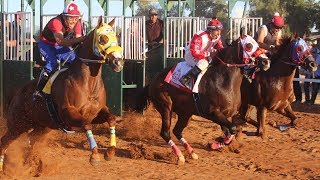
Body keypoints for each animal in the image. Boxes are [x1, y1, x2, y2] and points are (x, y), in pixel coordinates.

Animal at [0, 15, 124, 170]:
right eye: (102, 38)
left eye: (117, 38)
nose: (118, 62)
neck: (87, 84)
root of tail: (17, 94)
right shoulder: (68, 113)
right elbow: (86, 125)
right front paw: (94, 156)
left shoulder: (96, 112)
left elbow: (111, 118)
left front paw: (110, 152)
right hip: (17, 124)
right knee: (4, 142)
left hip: (42, 126)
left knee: (30, 139)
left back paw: (30, 163)